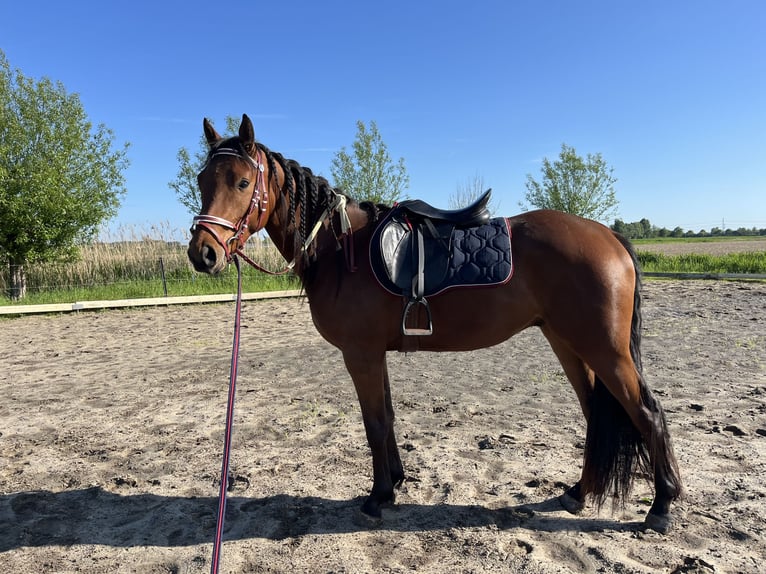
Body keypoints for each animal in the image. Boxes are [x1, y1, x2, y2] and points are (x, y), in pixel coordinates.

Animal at [187, 114, 682, 533]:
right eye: (201, 180)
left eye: (243, 182)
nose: (202, 254)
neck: (340, 248)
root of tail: (609, 235)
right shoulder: (374, 354)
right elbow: (386, 416)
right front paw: (395, 482)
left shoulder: (360, 354)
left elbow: (374, 423)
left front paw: (378, 496)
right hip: (569, 344)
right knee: (596, 414)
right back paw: (579, 494)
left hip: (605, 350)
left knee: (647, 413)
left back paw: (660, 507)